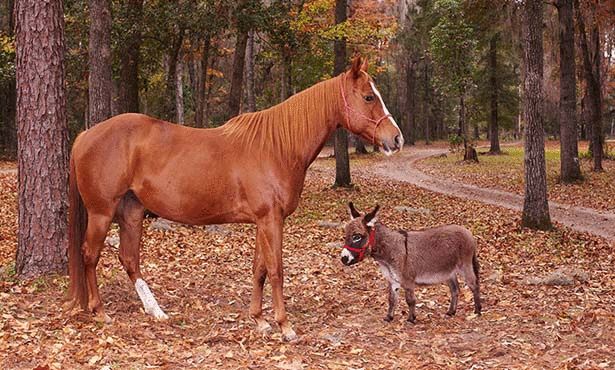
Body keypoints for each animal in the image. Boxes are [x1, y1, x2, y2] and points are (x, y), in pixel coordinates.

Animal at [66, 55, 404, 342]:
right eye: (369, 96)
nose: (396, 138)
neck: (277, 147)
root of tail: (84, 136)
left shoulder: (263, 221)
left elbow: (259, 270)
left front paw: (260, 320)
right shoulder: (271, 220)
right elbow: (277, 270)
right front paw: (285, 326)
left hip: (132, 212)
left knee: (129, 258)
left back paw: (156, 311)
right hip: (101, 213)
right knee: (90, 255)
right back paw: (100, 312)